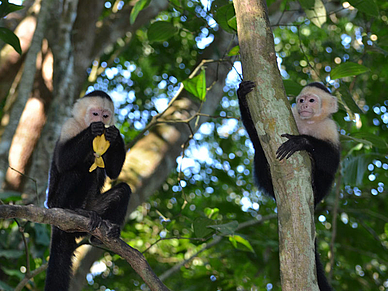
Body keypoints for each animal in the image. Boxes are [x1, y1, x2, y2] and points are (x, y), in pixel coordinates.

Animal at [43, 91, 130, 291]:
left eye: (105, 115)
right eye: (95, 114)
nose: (100, 121)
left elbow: (114, 172)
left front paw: (115, 135)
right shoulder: (69, 125)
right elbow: (63, 160)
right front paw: (93, 131)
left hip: (93, 209)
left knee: (124, 189)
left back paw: (105, 231)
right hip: (55, 203)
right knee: (79, 170)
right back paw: (72, 210)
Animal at [236, 80, 340, 291]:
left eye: (311, 100)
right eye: (301, 100)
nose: (304, 105)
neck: (308, 123)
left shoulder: (330, 128)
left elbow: (332, 160)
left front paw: (302, 141)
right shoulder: (291, 113)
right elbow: (257, 135)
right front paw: (242, 94)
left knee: (325, 173)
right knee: (260, 152)